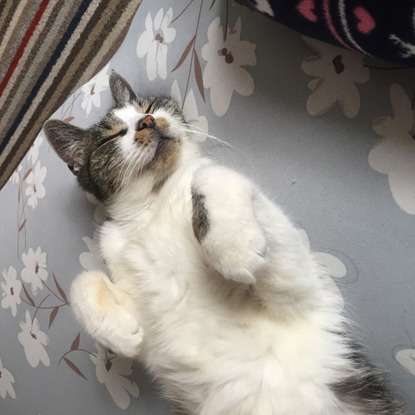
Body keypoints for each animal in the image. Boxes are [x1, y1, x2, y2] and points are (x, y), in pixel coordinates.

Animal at [44, 71, 404, 415]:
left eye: (150, 106)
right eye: (113, 135)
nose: (148, 121)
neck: (155, 203)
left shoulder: (299, 296)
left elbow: (210, 174)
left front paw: (234, 247)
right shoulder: (126, 271)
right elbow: (83, 281)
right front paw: (121, 331)